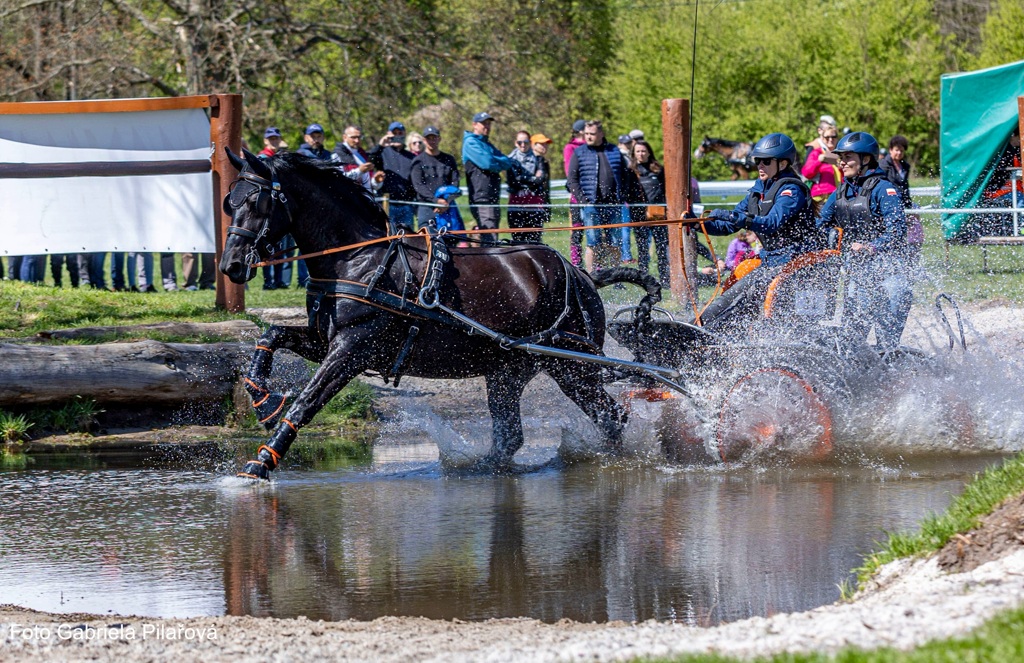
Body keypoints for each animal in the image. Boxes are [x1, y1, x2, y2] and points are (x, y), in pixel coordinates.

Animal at [220, 151, 659, 477]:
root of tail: (581, 274)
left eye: (256, 201)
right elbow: (271, 334)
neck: (358, 259)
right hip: (510, 369)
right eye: (229, 201)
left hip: (571, 366)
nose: (231, 265)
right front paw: (261, 397)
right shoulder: (324, 339)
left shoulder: (351, 349)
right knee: (513, 435)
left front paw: (261, 462)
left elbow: (307, 401)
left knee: (611, 416)